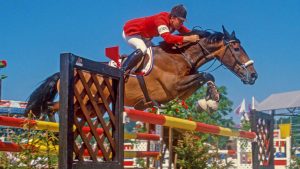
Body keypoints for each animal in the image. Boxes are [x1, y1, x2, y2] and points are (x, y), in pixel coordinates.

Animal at [24, 25, 256, 120]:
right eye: (237, 49)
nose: (254, 76)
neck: (179, 56)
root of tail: (61, 74)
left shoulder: (179, 92)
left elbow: (204, 78)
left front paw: (207, 101)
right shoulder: (173, 87)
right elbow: (207, 75)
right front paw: (211, 100)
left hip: (91, 106)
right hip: (78, 100)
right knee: (51, 107)